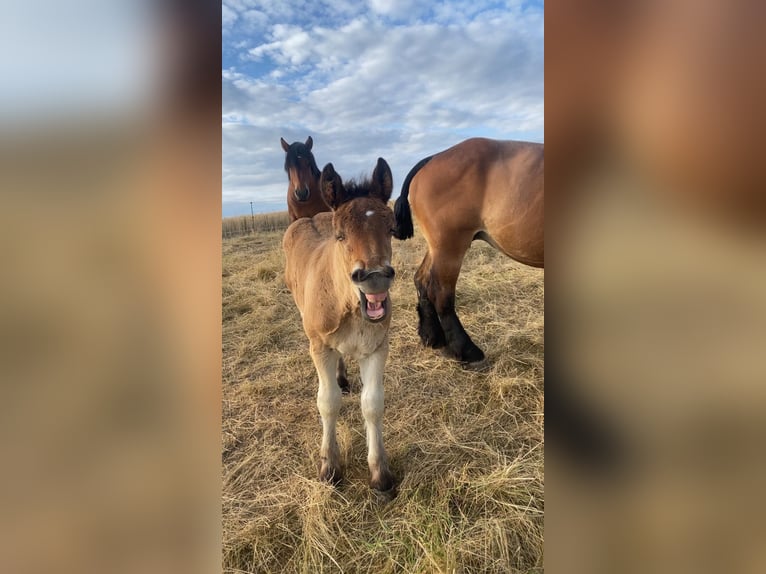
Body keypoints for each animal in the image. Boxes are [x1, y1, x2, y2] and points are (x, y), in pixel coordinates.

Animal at [284, 159, 402, 496]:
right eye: (340, 236)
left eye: (391, 230)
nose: (375, 278)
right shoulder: (320, 347)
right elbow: (328, 402)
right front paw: (330, 467)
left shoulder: (377, 348)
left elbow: (372, 404)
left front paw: (380, 476)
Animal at [396, 137, 544, 366]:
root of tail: (433, 158)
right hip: (450, 247)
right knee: (441, 294)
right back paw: (466, 350)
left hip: (436, 247)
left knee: (421, 280)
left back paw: (432, 337)